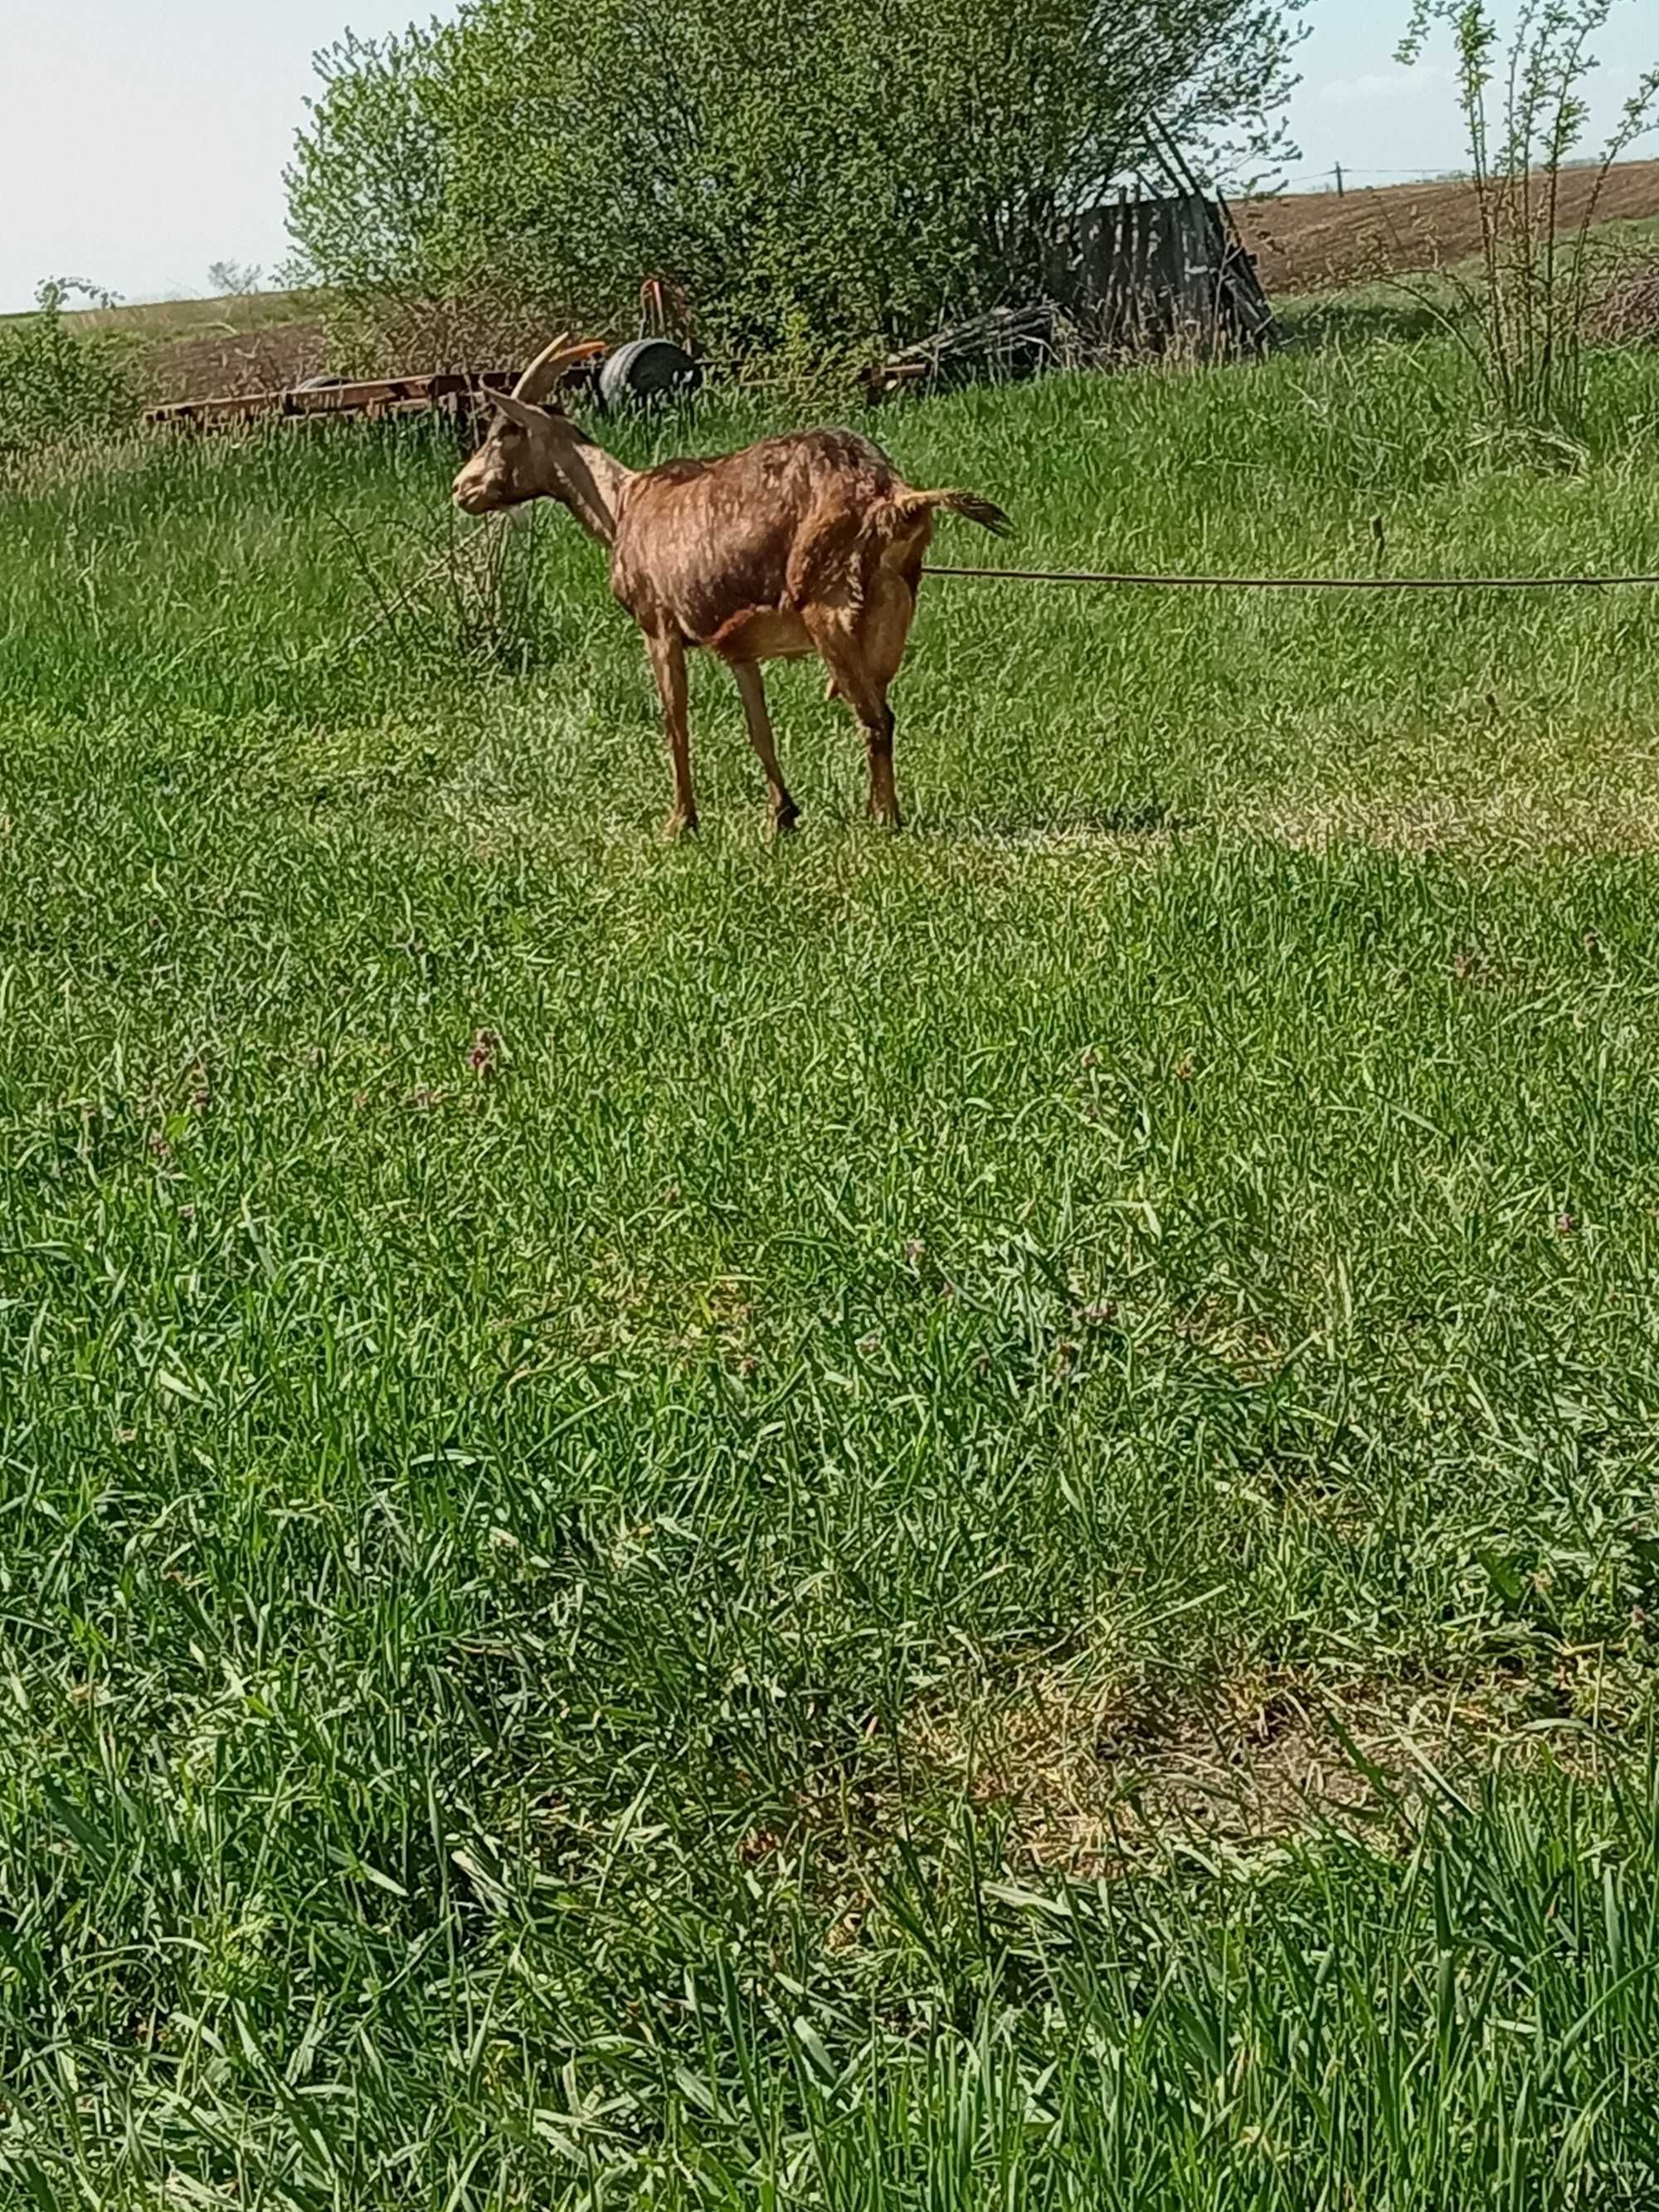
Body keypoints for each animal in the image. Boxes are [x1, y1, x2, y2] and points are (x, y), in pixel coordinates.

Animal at [449, 332, 1013, 831]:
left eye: (504, 431)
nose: (461, 489)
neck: (623, 503)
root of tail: (892, 495)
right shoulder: (738, 648)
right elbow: (759, 729)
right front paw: (783, 815)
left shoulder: (658, 626)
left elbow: (675, 722)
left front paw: (680, 823)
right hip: (891, 611)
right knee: (878, 707)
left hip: (829, 608)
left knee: (876, 719)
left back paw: (884, 822)